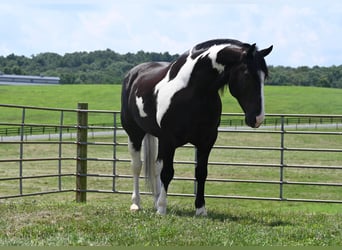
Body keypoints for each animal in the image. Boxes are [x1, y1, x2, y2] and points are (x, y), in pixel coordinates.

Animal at [120, 38, 272, 215]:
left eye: (265, 76)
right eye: (247, 74)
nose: (258, 118)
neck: (193, 90)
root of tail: (133, 74)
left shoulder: (206, 141)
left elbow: (201, 173)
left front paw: (200, 209)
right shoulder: (168, 140)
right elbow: (167, 173)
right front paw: (162, 209)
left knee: (156, 167)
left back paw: (156, 201)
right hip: (135, 134)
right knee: (137, 166)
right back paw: (136, 204)